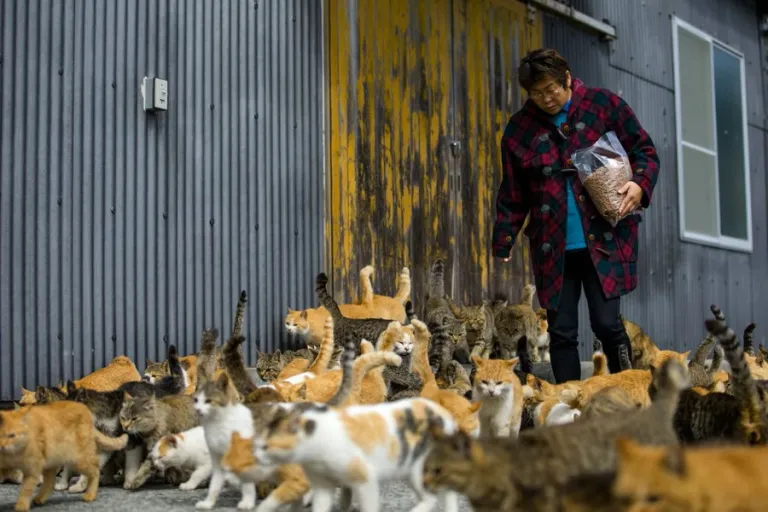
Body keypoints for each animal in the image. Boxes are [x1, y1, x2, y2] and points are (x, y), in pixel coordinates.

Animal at [0, 402, 128, 510]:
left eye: (11, 435)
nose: (2, 446)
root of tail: (86, 411)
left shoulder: (32, 472)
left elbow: (25, 490)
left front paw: (20, 507)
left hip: (77, 460)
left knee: (95, 470)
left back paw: (91, 494)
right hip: (52, 462)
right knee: (50, 482)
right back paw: (40, 498)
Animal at [258, 398, 462, 512]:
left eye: (266, 445)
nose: (256, 453)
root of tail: (448, 417)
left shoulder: (365, 478)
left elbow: (368, 504)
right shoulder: (321, 483)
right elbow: (321, 505)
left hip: (420, 469)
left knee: (432, 498)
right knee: (448, 493)